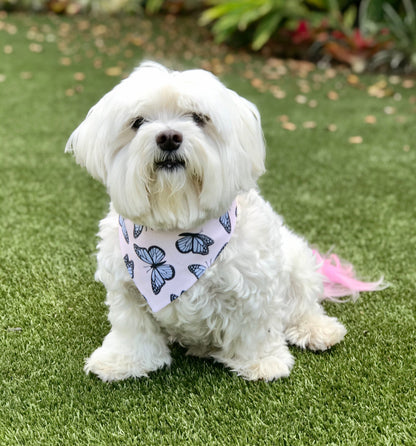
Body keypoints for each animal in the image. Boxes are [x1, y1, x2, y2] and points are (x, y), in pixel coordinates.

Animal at [66, 61, 384, 382]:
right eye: (138, 122)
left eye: (198, 118)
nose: (169, 137)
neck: (177, 222)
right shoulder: (127, 291)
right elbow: (133, 330)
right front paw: (123, 361)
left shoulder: (255, 288)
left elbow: (257, 328)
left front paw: (262, 362)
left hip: (297, 261)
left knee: (303, 305)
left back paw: (318, 329)